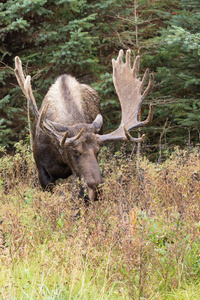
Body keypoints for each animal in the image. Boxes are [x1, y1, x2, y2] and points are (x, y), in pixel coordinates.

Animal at [14, 49, 154, 202]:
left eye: (97, 150)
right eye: (75, 151)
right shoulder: (43, 172)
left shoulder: (77, 174)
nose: (97, 188)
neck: (59, 156)